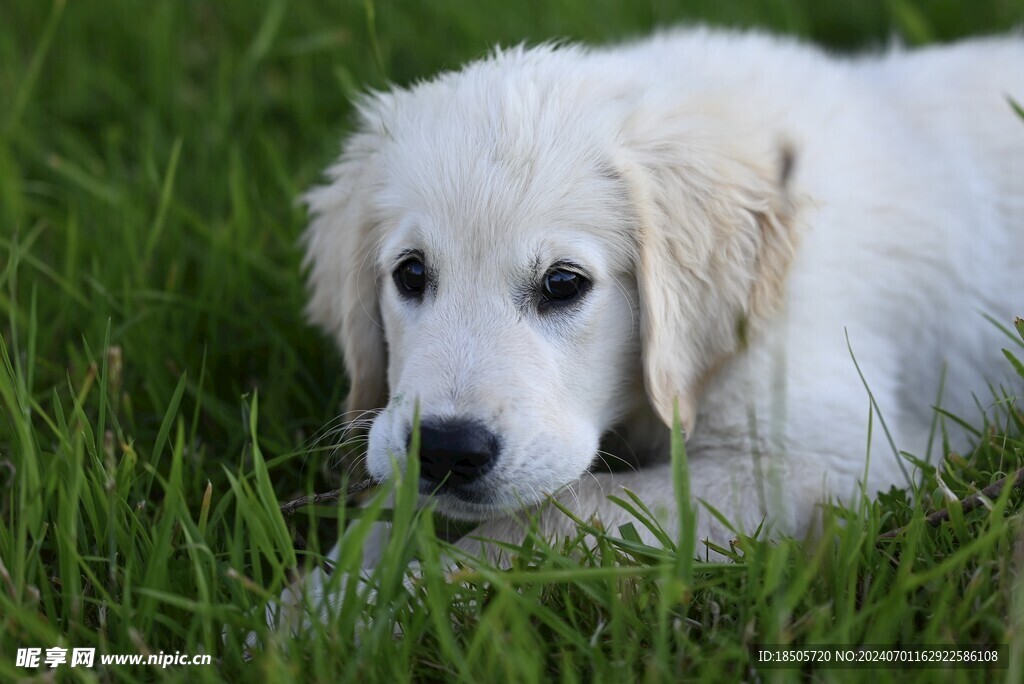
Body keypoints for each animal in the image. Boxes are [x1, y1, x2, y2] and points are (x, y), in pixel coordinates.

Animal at [294, 29, 1015, 610]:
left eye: (563, 283)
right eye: (411, 275)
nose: (445, 450)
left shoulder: (841, 462)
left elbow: (558, 513)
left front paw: (380, 605)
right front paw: (321, 601)